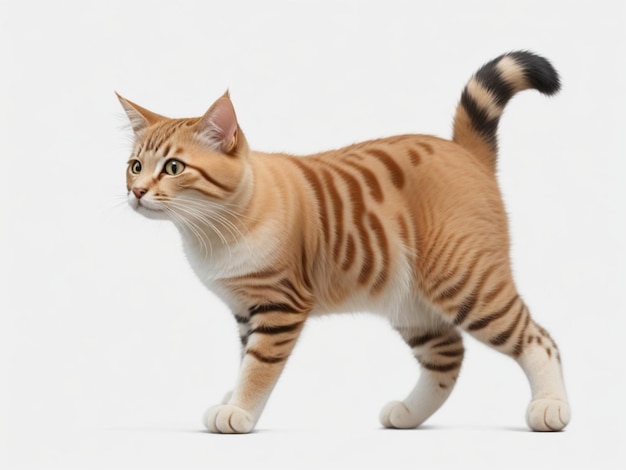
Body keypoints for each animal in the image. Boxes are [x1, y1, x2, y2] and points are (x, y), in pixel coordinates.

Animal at [118, 50, 572, 434]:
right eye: (135, 166)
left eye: (173, 167)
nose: (136, 191)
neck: (209, 229)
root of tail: (462, 149)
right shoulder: (246, 311)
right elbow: (244, 360)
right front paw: (232, 398)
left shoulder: (279, 305)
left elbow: (258, 366)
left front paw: (240, 410)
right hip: (411, 303)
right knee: (448, 356)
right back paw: (408, 414)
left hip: (465, 283)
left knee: (540, 340)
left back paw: (551, 406)